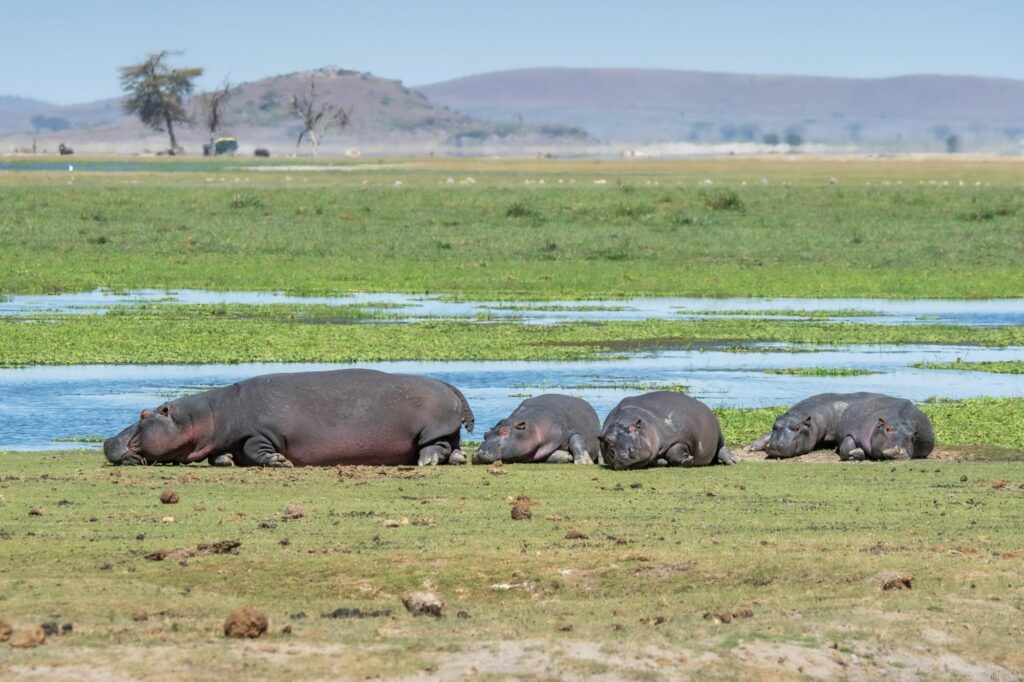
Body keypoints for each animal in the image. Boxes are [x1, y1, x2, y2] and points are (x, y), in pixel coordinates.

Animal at [103, 369, 474, 467]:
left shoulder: (261, 432)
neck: (204, 415)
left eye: (144, 413)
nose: (107, 441)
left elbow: (256, 449)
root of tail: (450, 386)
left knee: (437, 445)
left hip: (432, 427)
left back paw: (426, 462)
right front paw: (225, 460)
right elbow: (221, 456)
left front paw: (280, 461)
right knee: (454, 445)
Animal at [472, 394, 601, 465]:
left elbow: (576, 439)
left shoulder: (568, 431)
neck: (531, 425)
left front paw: (584, 462)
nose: (478, 453)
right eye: (485, 434)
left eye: (504, 431)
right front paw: (566, 456)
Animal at [599, 391, 736, 470]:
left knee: (721, 448)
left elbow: (675, 452)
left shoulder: (679, 438)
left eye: (633, 429)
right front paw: (662, 461)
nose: (623, 456)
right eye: (607, 441)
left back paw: (731, 461)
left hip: (719, 436)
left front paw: (689, 459)